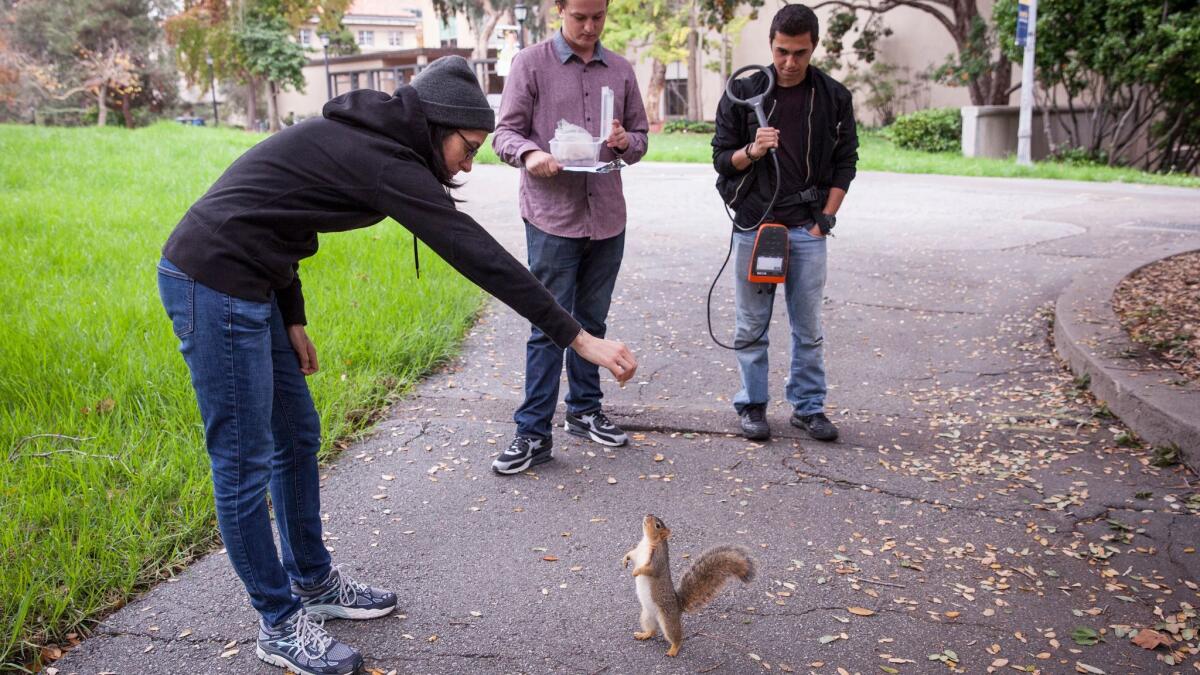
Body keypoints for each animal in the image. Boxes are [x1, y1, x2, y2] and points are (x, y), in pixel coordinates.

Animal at [624, 511, 753, 653]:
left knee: (676, 637)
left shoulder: (657, 560)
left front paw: (636, 572)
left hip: (668, 620)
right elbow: (631, 554)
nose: (648, 514)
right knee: (652, 631)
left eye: (657, 525)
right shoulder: (637, 552)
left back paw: (673, 650)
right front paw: (625, 560)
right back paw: (644, 634)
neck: (647, 542)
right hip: (646, 616)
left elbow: (649, 570)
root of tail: (678, 606)